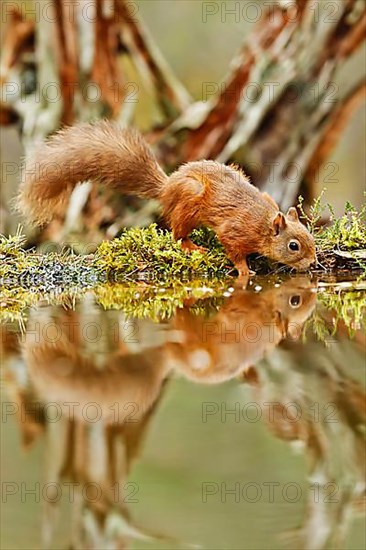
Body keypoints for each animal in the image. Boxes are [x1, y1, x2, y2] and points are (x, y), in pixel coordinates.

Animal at [17, 121, 314, 276]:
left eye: (310, 236)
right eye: (294, 246)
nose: (312, 263)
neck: (263, 224)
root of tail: (167, 187)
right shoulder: (235, 230)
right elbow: (233, 250)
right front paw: (244, 270)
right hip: (189, 201)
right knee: (177, 233)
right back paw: (191, 246)